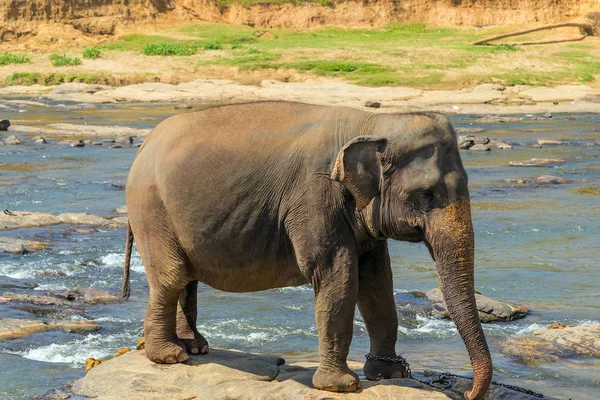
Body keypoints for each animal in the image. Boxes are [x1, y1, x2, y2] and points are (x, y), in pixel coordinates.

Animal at [120, 101, 492, 400]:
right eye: (427, 194)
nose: (469, 392)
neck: (372, 122)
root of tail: (144, 145)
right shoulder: (315, 196)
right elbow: (337, 274)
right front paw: (342, 386)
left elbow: (377, 281)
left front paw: (390, 374)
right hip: (151, 209)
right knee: (172, 276)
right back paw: (170, 356)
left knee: (187, 278)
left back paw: (195, 347)